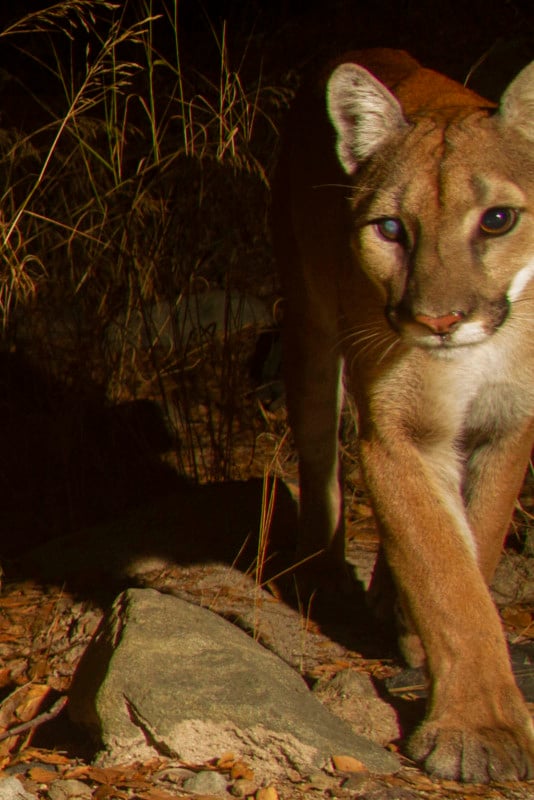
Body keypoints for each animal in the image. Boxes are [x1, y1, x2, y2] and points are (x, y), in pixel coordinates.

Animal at [274, 50, 534, 780]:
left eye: (498, 220)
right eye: (391, 229)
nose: (438, 321)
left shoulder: (509, 423)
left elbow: (476, 539)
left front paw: (426, 642)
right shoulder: (398, 432)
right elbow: (444, 569)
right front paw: (480, 728)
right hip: (312, 328)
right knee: (319, 455)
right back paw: (324, 573)